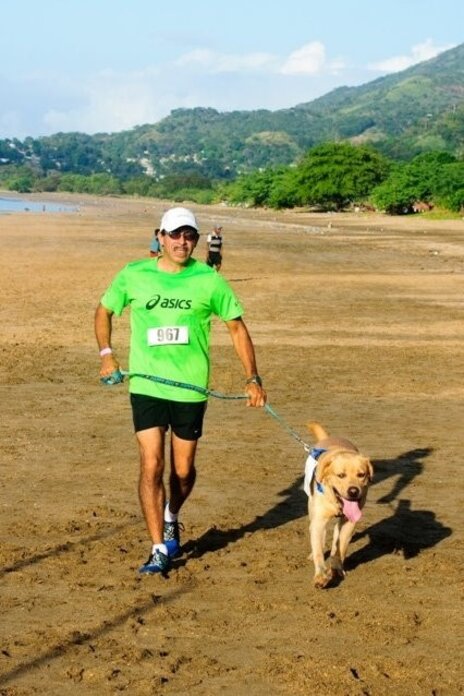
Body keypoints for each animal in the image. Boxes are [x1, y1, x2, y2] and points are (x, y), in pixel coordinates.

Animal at [304, 424, 374, 588]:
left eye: (361, 474)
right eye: (341, 475)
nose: (353, 491)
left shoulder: (349, 523)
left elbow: (340, 547)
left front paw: (336, 569)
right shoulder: (318, 521)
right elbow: (318, 550)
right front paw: (321, 576)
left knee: (336, 537)